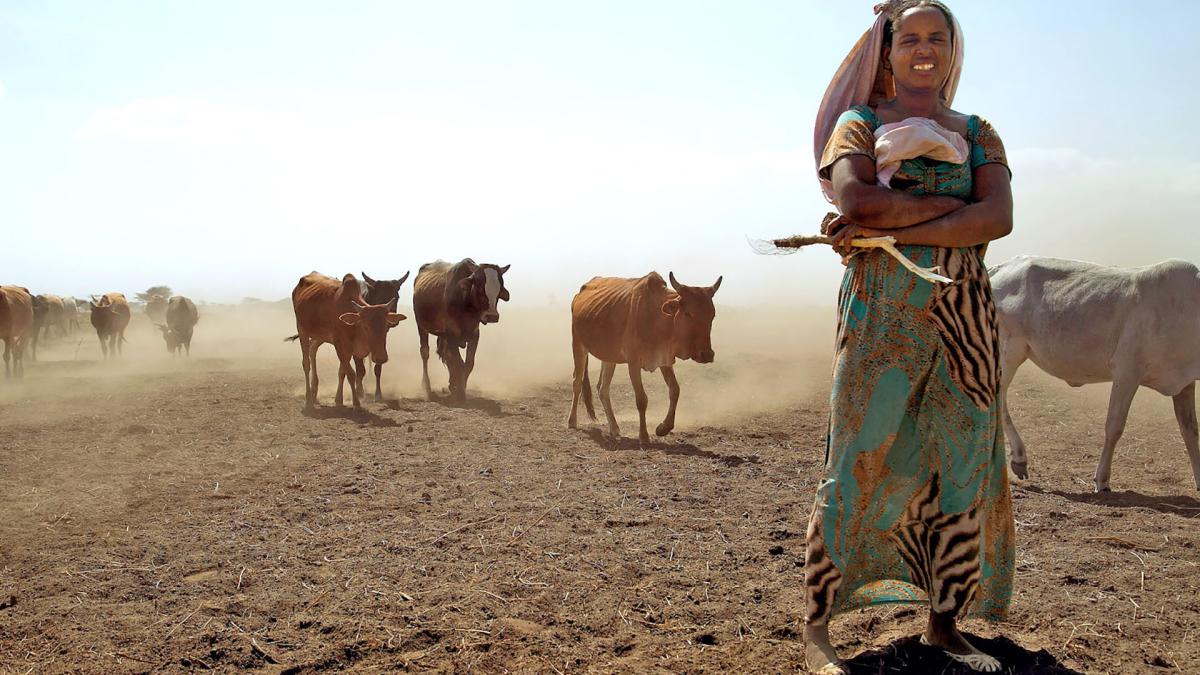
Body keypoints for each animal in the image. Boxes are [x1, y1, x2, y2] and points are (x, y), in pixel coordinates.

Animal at [286, 270, 408, 408]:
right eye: (365, 327)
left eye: (385, 326)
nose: (381, 358)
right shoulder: (340, 345)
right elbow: (351, 373)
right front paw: (356, 402)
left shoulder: (349, 350)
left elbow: (342, 372)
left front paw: (339, 399)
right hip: (303, 331)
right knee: (306, 363)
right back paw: (308, 400)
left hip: (319, 336)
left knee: (313, 350)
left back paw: (314, 392)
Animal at [415, 257, 508, 398]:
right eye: (480, 286)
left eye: (499, 288)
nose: (492, 316)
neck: (465, 301)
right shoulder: (451, 334)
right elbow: (458, 363)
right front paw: (459, 391)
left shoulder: (474, 335)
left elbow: (468, 363)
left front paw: (459, 387)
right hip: (421, 327)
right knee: (425, 353)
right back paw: (427, 386)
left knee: (446, 355)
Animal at [564, 270, 715, 444]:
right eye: (689, 313)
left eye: (712, 315)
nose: (707, 354)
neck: (656, 317)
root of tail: (579, 295)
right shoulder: (633, 363)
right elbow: (641, 399)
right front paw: (643, 435)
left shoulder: (664, 359)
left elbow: (675, 390)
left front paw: (663, 428)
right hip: (578, 345)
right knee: (577, 382)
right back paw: (572, 421)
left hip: (609, 356)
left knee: (603, 389)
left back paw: (614, 428)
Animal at [988, 254, 1200, 492]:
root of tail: (999, 268)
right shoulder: (1127, 372)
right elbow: (1114, 426)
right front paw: (1102, 479)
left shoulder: (1183, 382)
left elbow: (1190, 430)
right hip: (1009, 350)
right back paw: (1018, 456)